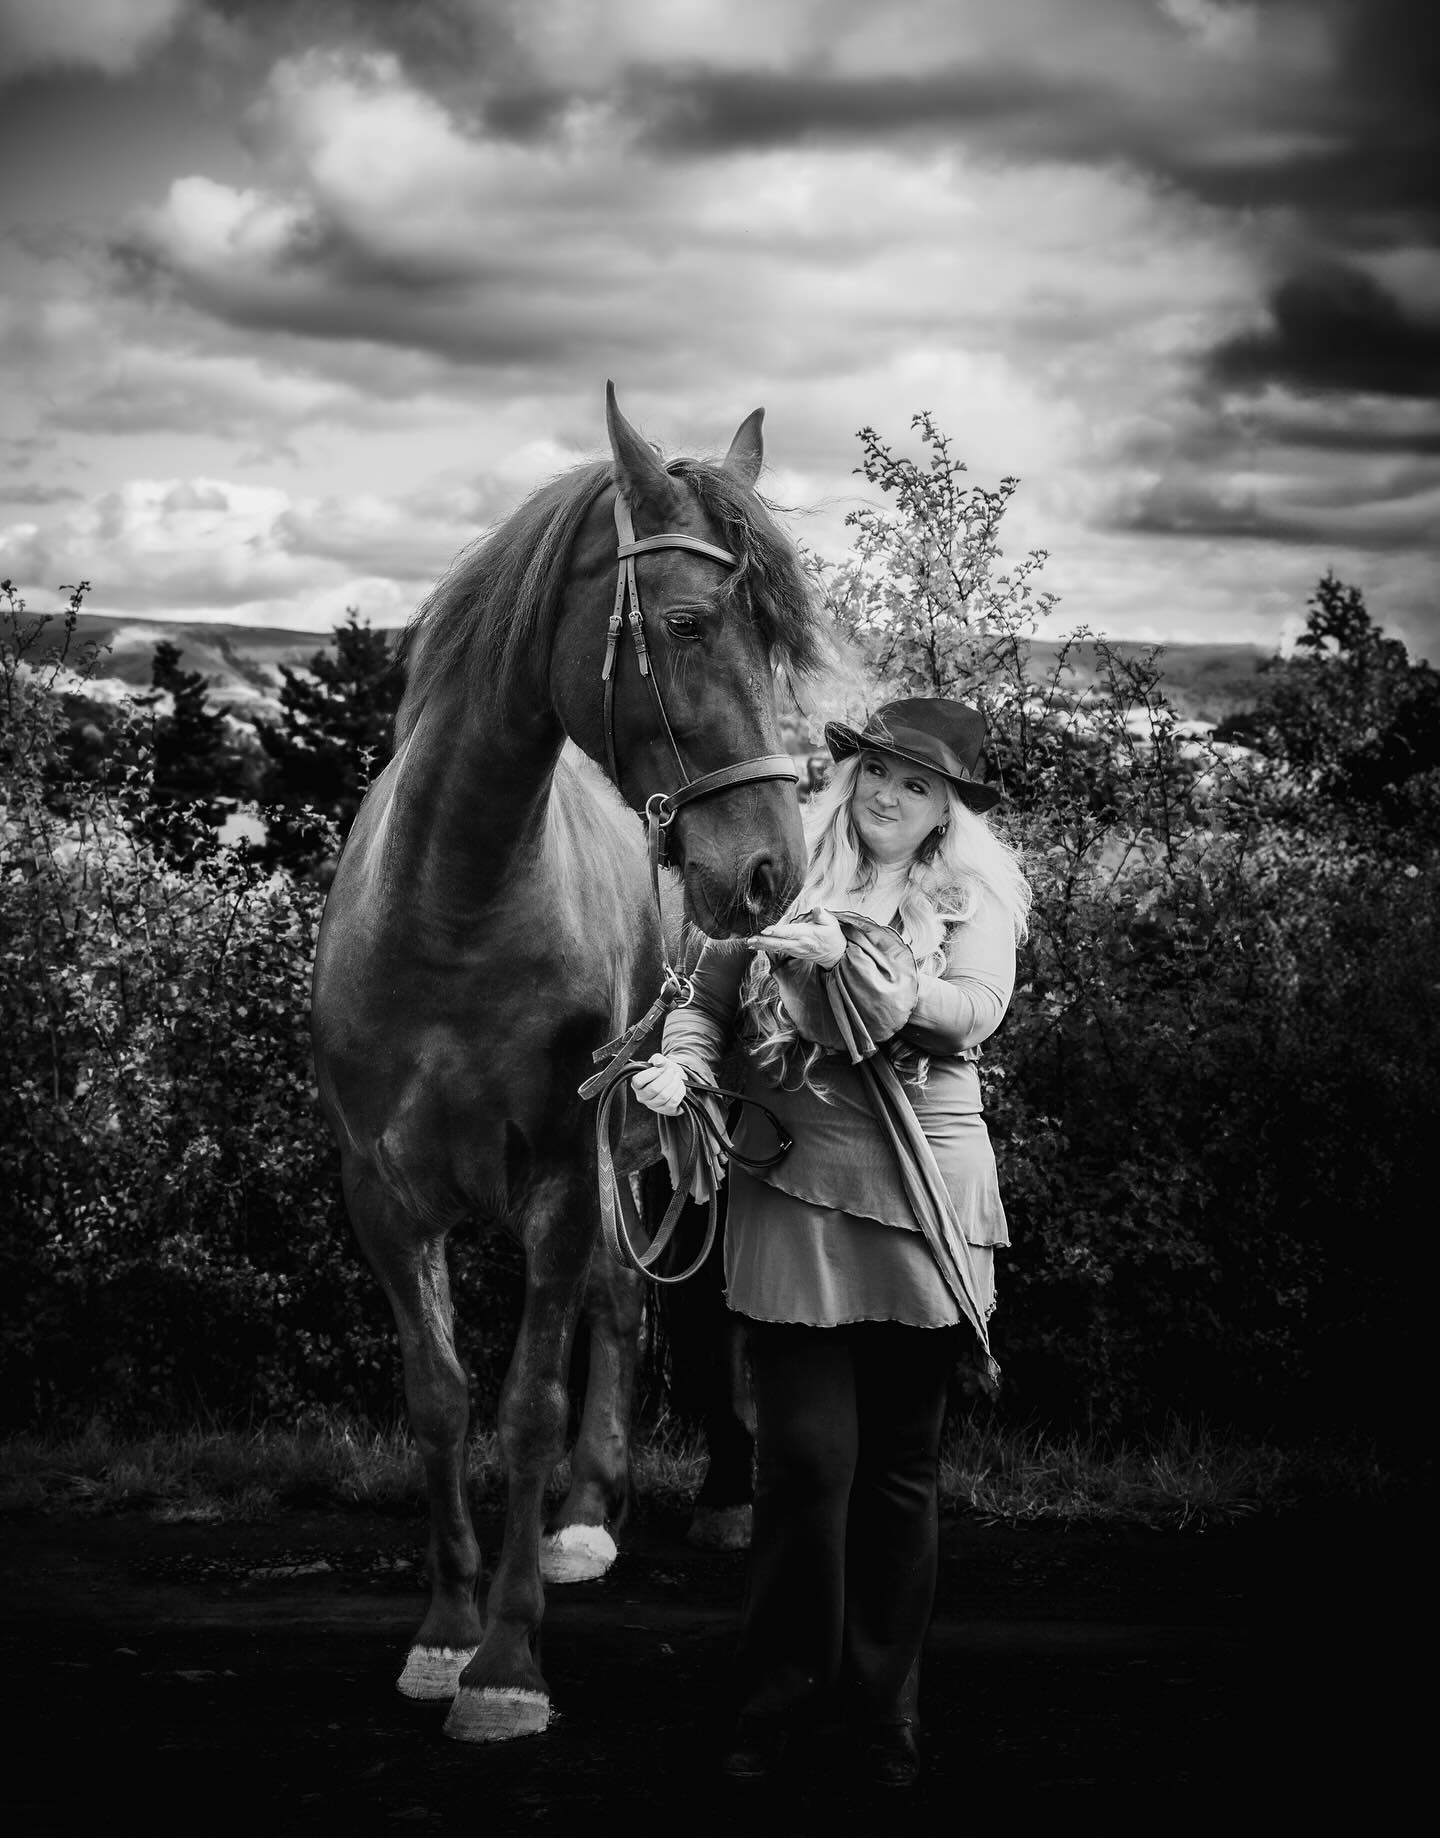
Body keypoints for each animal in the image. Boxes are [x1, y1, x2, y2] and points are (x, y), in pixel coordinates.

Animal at [311, 384, 822, 1742]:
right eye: (688, 623)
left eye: (781, 641)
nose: (773, 871)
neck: (453, 904)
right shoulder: (383, 1195)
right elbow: (439, 1397)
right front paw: (445, 1630)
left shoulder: (552, 1175)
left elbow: (528, 1401)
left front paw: (506, 1660)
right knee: (625, 1297)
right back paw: (586, 1519)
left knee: (671, 1306)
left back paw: (669, 1503)